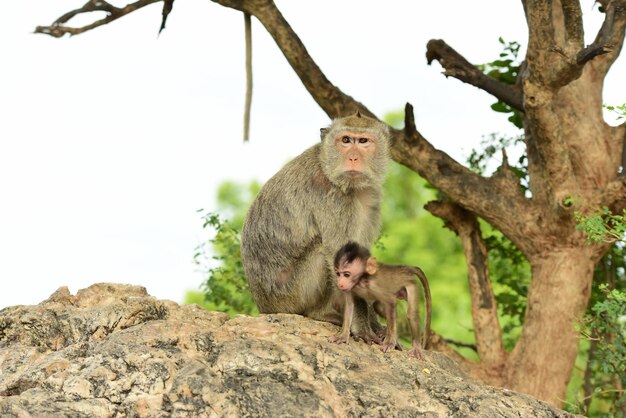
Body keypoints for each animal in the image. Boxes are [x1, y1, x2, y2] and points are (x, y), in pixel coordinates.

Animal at [241, 112, 388, 342]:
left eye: (363, 141)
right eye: (346, 140)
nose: (353, 158)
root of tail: (264, 308)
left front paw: (374, 324)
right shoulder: (331, 197)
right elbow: (339, 255)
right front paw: (363, 329)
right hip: (291, 296)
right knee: (321, 252)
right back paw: (320, 313)